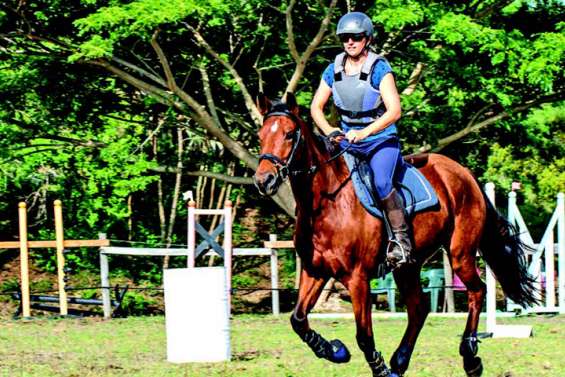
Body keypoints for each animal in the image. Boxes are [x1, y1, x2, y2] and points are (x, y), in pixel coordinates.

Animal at [252, 92, 536, 376]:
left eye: (290, 134)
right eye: (260, 135)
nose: (263, 180)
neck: (326, 203)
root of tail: (464, 173)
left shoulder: (357, 278)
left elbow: (364, 336)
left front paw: (377, 367)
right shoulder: (315, 271)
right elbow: (298, 320)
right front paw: (335, 350)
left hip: (460, 254)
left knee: (477, 291)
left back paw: (470, 357)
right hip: (408, 265)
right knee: (419, 307)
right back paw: (400, 361)